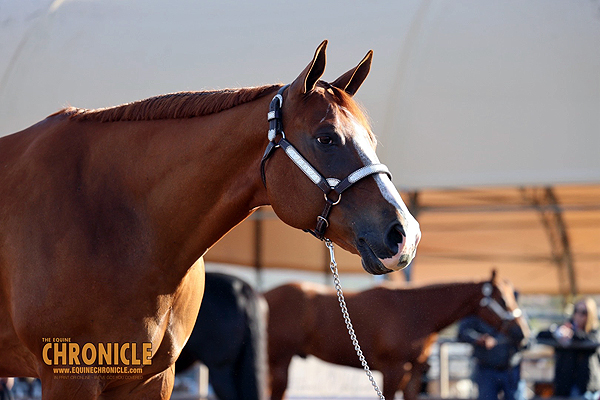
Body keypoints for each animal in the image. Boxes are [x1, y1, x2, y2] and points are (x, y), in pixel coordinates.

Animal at [265, 271, 530, 400]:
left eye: (514, 296)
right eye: (502, 299)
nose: (523, 335)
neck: (414, 311)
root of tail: (264, 296)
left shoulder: (414, 372)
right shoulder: (393, 370)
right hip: (280, 361)